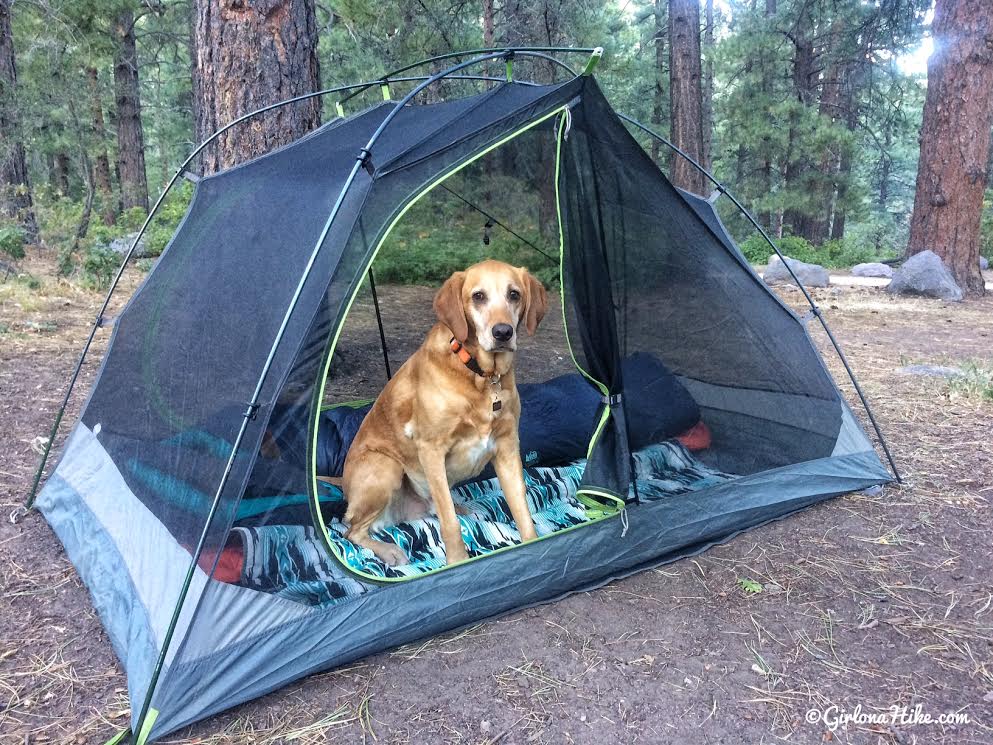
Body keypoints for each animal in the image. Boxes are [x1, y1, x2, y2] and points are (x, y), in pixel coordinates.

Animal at [340, 260, 544, 564]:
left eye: (514, 294)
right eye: (478, 296)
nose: (503, 332)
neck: (481, 375)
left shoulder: (507, 447)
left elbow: (523, 511)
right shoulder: (431, 449)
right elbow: (450, 525)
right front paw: (457, 562)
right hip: (385, 467)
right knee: (351, 530)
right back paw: (389, 550)